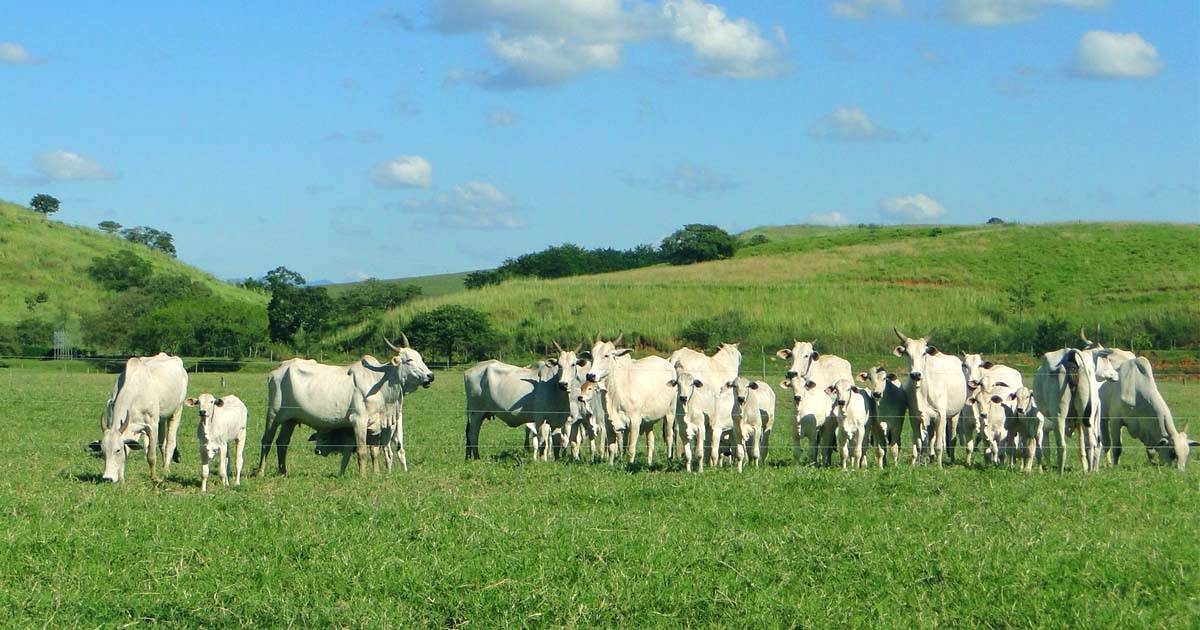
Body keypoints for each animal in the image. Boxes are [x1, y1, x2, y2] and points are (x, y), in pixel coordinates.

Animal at [93, 352, 188, 482]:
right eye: (103, 451)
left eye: (118, 450)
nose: (108, 478)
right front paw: (121, 478)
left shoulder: (152, 425)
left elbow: (151, 456)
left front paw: (154, 478)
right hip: (162, 418)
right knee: (162, 444)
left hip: (177, 410)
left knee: (170, 443)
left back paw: (166, 471)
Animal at [255, 333, 434, 477]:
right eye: (409, 360)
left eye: (421, 358)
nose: (430, 376)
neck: (380, 382)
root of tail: (277, 370)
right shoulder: (359, 420)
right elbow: (362, 451)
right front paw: (363, 476)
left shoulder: (375, 425)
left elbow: (375, 451)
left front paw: (376, 474)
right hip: (274, 414)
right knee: (267, 440)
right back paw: (260, 472)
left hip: (290, 419)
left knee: (282, 442)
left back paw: (283, 472)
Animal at [585, 333, 681, 465]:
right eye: (591, 356)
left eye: (606, 355)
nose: (590, 375)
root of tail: (667, 362)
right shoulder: (609, 422)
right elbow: (612, 448)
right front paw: (610, 465)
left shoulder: (635, 421)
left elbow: (631, 449)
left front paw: (630, 465)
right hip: (649, 420)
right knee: (650, 441)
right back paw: (649, 463)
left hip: (670, 412)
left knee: (669, 436)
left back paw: (669, 458)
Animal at [892, 328, 964, 465]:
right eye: (907, 353)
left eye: (924, 353)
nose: (916, 374)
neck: (923, 391)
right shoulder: (915, 418)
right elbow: (918, 444)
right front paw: (914, 464)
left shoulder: (941, 416)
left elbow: (938, 445)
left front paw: (939, 466)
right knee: (930, 437)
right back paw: (929, 457)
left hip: (954, 415)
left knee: (951, 438)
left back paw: (951, 459)